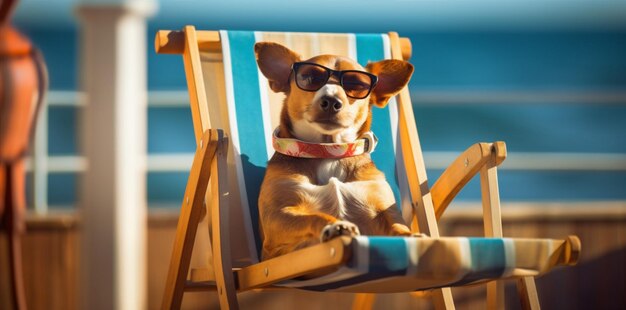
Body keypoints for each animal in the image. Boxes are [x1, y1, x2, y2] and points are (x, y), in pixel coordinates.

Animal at [254, 41, 414, 260]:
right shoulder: (276, 219)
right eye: (310, 78)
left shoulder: (385, 212)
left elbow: (399, 227)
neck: (328, 151)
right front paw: (336, 225)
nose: (331, 100)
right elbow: (313, 216)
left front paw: (414, 235)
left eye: (357, 85)